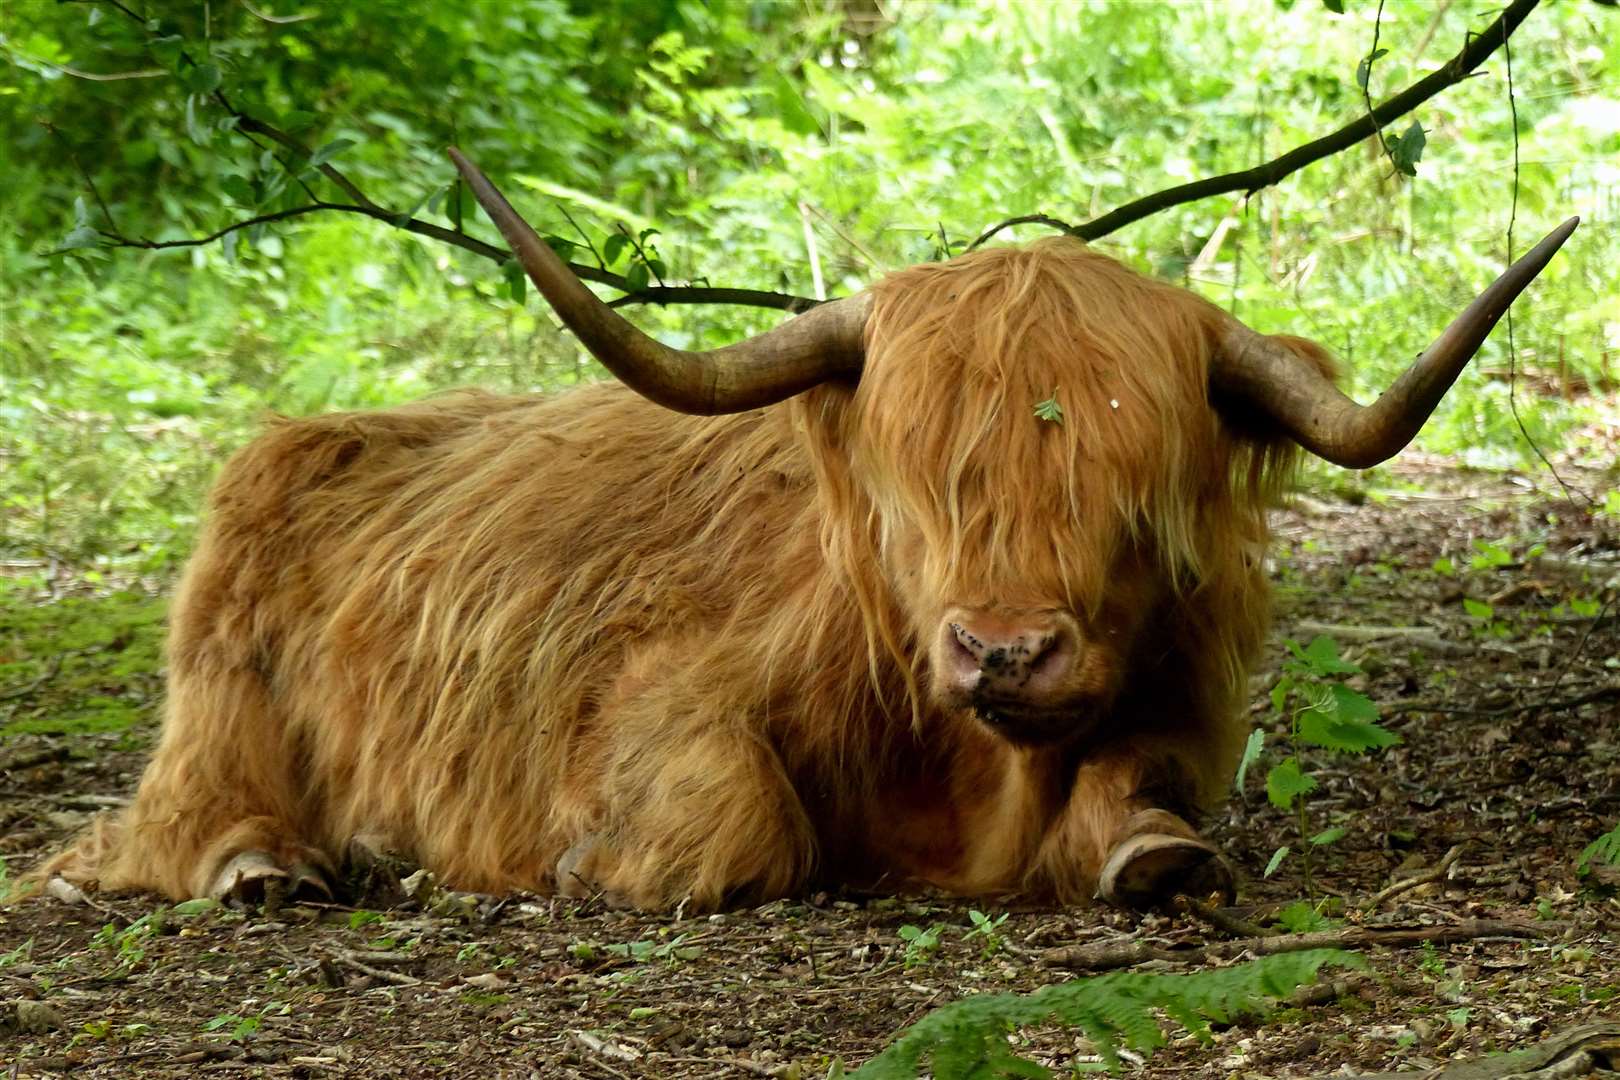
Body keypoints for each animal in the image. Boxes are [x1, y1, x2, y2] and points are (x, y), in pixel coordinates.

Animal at [38, 149, 1574, 913]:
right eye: (919, 484)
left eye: (1130, 498)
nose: (1001, 650)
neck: (964, 778)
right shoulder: (657, 688)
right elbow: (738, 810)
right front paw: (593, 863)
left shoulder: (1171, 703)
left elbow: (1141, 790)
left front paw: (1153, 853)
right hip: (217, 689)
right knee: (155, 826)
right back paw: (274, 864)